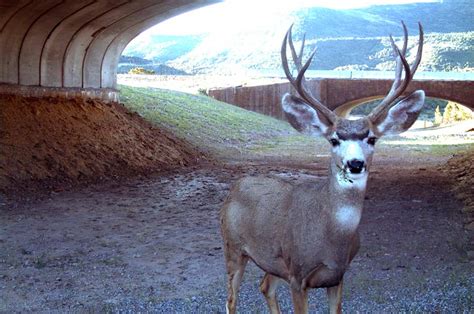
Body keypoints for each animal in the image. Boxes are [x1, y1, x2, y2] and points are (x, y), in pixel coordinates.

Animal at [220, 22, 424, 314]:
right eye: (334, 139)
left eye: (372, 138)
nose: (355, 164)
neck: (331, 239)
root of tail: (236, 186)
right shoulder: (298, 274)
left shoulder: (338, 276)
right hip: (233, 247)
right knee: (231, 298)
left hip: (272, 260)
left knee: (265, 286)